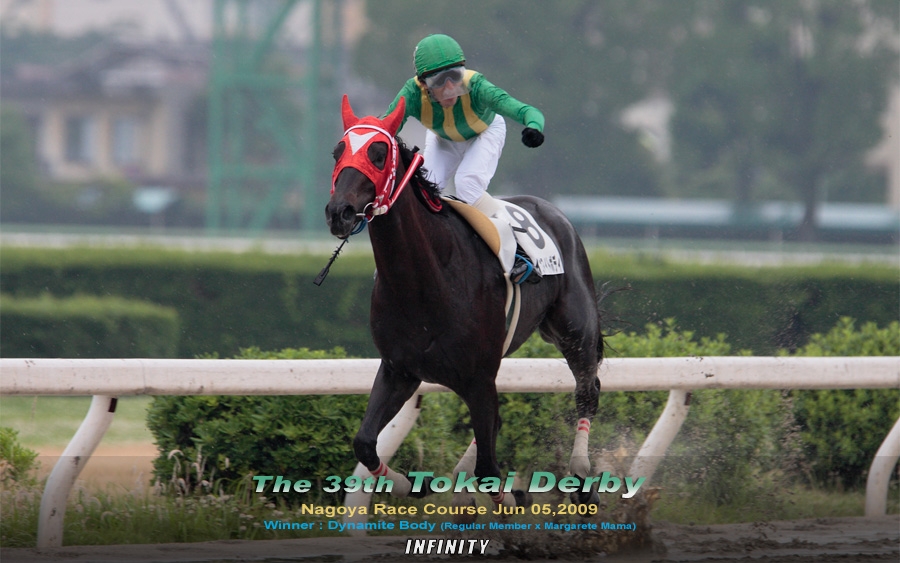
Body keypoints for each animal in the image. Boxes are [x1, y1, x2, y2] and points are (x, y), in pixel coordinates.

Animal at [325, 95, 603, 511]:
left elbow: (489, 468)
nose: (338, 212)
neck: (426, 281)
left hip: (575, 329)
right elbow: (365, 444)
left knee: (588, 389)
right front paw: (414, 485)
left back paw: (582, 478)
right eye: (337, 151)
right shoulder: (400, 370)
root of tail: (551, 210)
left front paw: (507, 502)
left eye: (378, 153)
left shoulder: (477, 377)